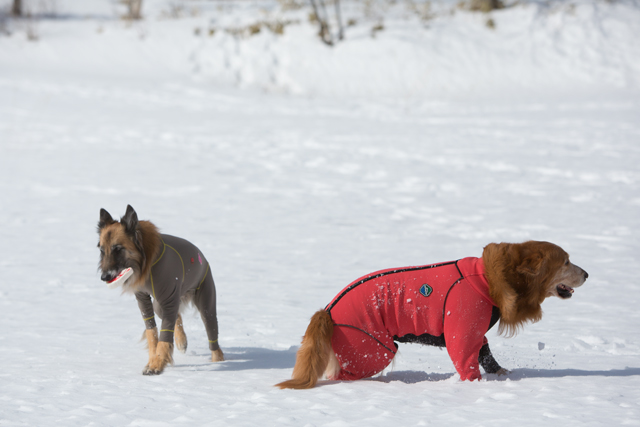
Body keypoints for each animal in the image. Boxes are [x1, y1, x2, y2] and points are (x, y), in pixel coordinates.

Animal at [96, 206, 224, 376]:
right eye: (102, 250)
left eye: (118, 249)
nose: (104, 277)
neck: (147, 263)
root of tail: (201, 256)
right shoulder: (144, 299)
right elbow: (152, 333)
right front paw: (153, 360)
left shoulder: (168, 298)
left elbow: (164, 336)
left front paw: (157, 364)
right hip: (159, 304)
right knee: (177, 315)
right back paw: (182, 342)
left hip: (205, 301)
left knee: (211, 329)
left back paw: (219, 359)